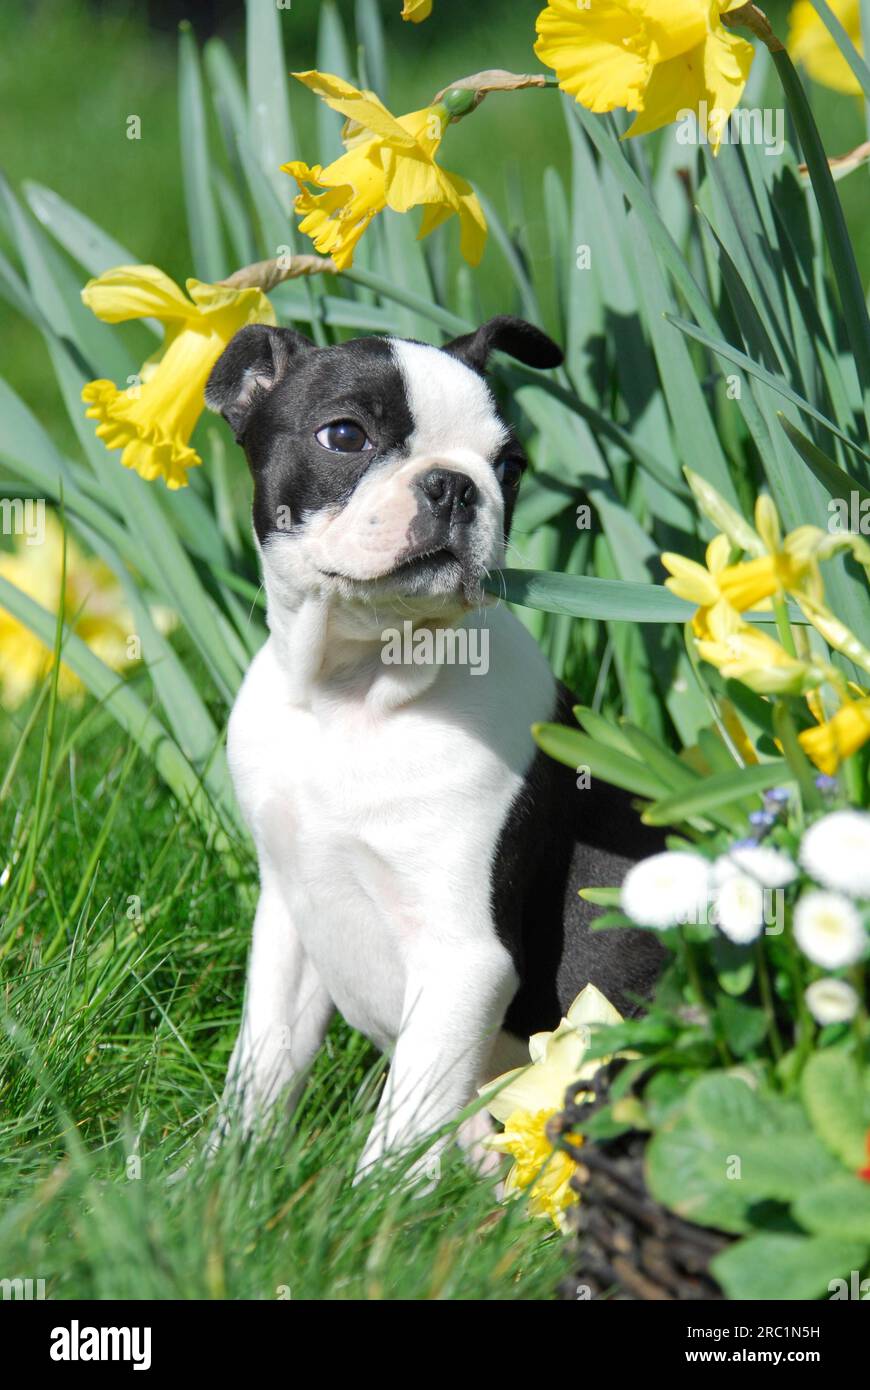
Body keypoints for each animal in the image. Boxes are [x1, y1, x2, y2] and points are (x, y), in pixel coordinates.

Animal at [204, 315, 664, 1173]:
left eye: (509, 466)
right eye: (345, 435)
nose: (455, 485)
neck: (353, 693)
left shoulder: (462, 957)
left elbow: (403, 1122)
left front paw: (370, 1206)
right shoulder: (289, 913)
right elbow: (263, 1064)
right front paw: (219, 1174)